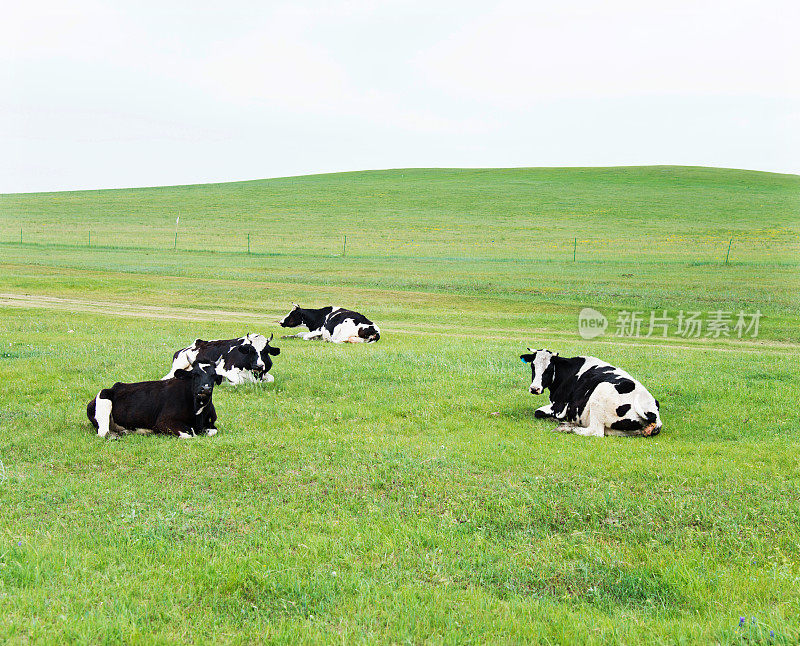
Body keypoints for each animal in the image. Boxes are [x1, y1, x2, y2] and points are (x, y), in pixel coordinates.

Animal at [87, 360, 223, 440]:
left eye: (213, 375)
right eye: (195, 374)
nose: (205, 388)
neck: (198, 413)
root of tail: (115, 386)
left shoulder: (210, 424)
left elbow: (213, 431)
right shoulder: (163, 422)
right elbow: (190, 433)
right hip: (104, 400)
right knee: (103, 432)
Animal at [520, 350, 664, 440]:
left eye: (549, 368)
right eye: (533, 366)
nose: (535, 388)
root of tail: (651, 410)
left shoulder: (558, 407)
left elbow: (538, 412)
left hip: (600, 394)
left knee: (595, 431)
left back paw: (567, 427)